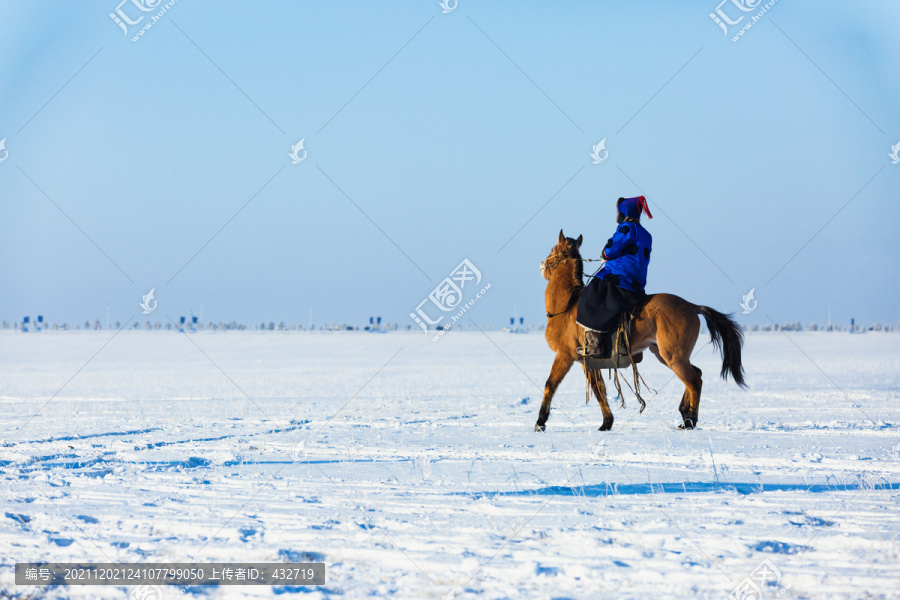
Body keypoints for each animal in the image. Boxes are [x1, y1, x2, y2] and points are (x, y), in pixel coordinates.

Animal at [536, 230, 740, 432]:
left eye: (553, 250)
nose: (541, 264)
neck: (568, 305)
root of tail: (691, 306)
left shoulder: (564, 356)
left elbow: (550, 384)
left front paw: (540, 422)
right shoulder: (585, 361)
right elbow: (599, 389)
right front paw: (607, 422)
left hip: (673, 356)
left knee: (694, 381)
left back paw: (690, 421)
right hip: (666, 355)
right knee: (695, 374)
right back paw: (684, 414)